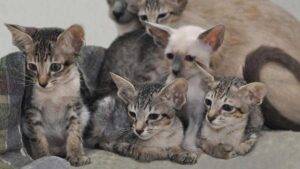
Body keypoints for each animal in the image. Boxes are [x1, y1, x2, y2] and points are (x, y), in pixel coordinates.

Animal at [4, 23, 91, 166]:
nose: (42, 83)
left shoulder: (75, 105)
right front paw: (43, 157)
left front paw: (76, 154)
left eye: (55, 67)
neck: (54, 91)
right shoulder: (31, 108)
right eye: (32, 67)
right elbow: (37, 136)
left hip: (85, 113)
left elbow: (75, 131)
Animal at [145, 21, 225, 152]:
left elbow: (190, 133)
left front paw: (189, 148)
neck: (187, 84)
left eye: (189, 58)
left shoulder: (196, 115)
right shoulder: (173, 112)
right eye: (170, 56)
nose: (175, 70)